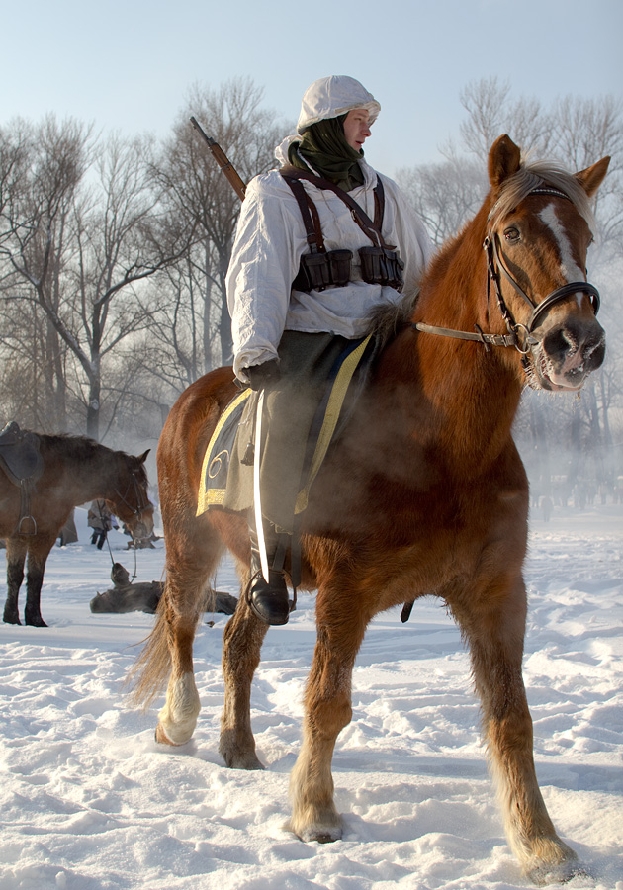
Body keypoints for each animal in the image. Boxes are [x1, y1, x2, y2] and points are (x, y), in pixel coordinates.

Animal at [1, 432, 153, 624]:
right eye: (141, 484)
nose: (149, 521)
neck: (54, 471)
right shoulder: (41, 535)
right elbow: (35, 577)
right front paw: (35, 619)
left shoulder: (17, 537)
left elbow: (15, 576)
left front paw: (12, 618)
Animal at [130, 137, 608, 880]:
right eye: (510, 233)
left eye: (586, 234)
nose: (575, 343)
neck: (436, 441)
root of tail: (191, 397)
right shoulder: (345, 593)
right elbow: (327, 702)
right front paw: (315, 812)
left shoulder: (496, 592)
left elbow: (512, 717)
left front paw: (540, 843)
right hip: (189, 543)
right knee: (182, 623)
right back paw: (179, 722)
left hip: (257, 569)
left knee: (238, 645)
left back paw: (238, 744)